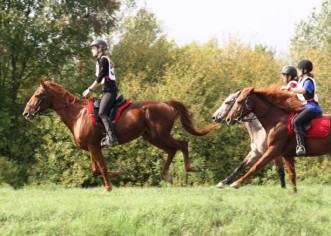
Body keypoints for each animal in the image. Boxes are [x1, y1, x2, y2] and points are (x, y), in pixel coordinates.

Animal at [23, 81, 220, 192]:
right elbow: (96, 169)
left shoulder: (94, 146)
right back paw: (167, 175)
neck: (77, 114)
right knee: (172, 150)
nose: (26, 113)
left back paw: (190, 167)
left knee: (182, 144)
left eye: (38, 95)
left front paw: (108, 188)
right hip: (152, 137)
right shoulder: (92, 148)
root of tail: (165, 104)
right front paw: (122, 173)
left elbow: (101, 168)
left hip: (161, 135)